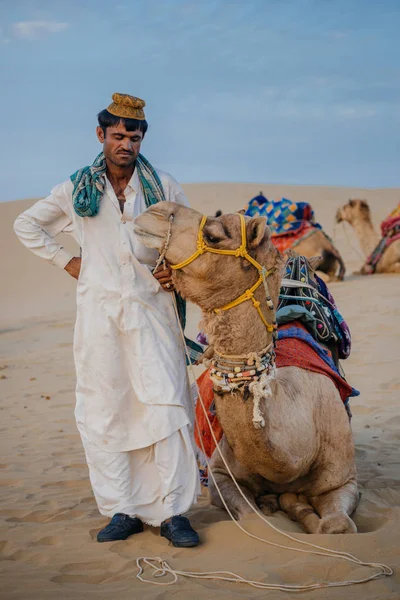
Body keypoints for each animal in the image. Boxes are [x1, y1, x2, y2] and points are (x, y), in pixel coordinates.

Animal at [134, 203, 360, 536]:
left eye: (214, 236)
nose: (155, 209)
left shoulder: (345, 480)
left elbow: (337, 526)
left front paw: (295, 502)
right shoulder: (221, 474)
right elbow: (257, 520)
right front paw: (284, 503)